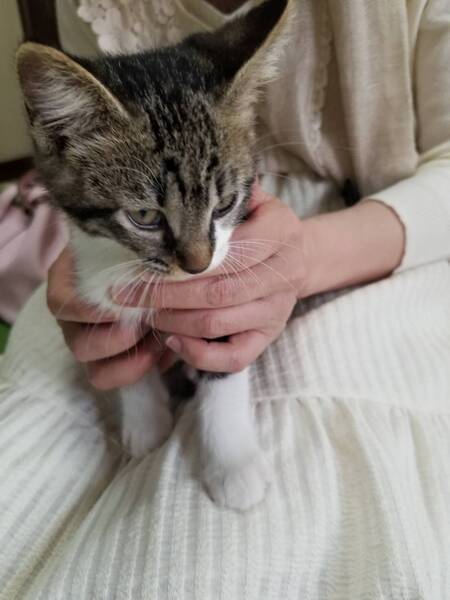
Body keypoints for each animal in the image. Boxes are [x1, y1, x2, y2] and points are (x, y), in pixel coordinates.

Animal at [17, 0, 294, 511]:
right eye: (145, 215)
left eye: (225, 204)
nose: (198, 264)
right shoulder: (97, 295)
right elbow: (126, 362)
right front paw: (146, 427)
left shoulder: (228, 300)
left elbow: (223, 366)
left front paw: (233, 466)